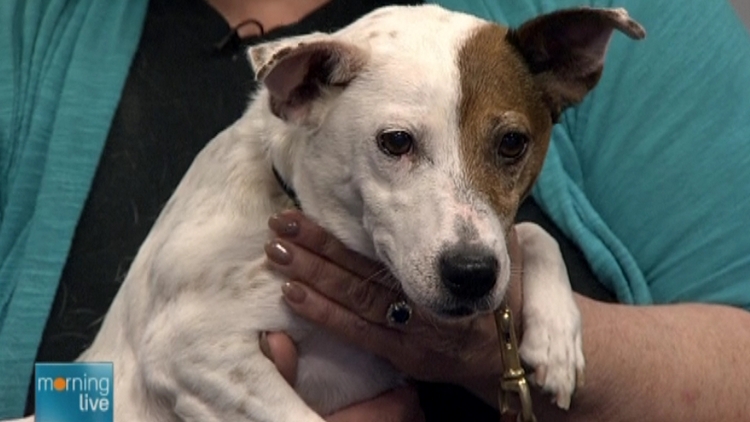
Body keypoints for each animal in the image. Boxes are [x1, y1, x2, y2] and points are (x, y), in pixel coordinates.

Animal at [10, 4, 648, 422]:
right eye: (395, 142)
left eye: (513, 143)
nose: (471, 276)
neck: (294, 203)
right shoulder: (189, 352)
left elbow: (533, 232)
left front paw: (557, 338)